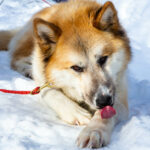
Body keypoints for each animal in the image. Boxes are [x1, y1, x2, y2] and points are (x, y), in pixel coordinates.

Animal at [0, 0, 131, 148]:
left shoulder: (118, 91)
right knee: (15, 58)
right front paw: (75, 112)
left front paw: (94, 130)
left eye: (103, 59)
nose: (104, 101)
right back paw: (27, 69)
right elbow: (50, 92)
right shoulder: (41, 74)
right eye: (76, 68)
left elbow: (106, 115)